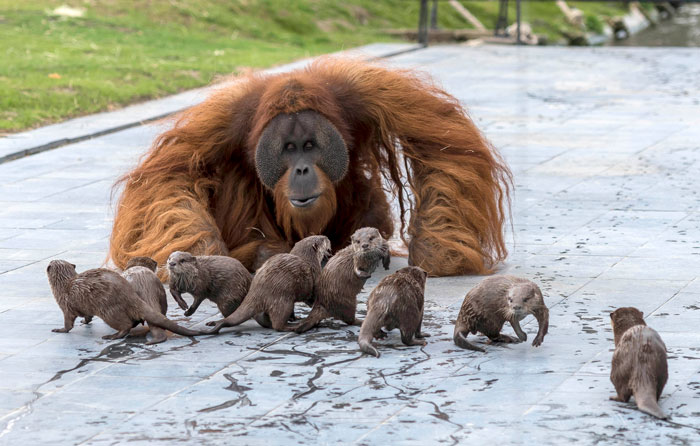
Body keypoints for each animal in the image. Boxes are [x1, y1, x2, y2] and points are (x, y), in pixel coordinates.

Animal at [47, 260, 204, 340]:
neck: (64, 285)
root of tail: (130, 295)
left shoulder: (65, 305)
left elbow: (68, 323)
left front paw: (60, 329)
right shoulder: (84, 307)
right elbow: (87, 316)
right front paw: (85, 322)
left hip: (108, 310)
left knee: (125, 325)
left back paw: (112, 336)